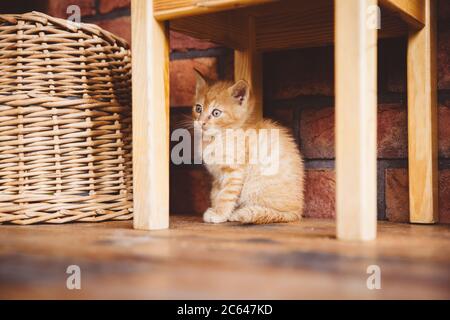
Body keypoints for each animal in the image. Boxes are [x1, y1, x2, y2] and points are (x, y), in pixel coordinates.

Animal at [192, 70, 304, 224]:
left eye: (216, 113)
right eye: (198, 108)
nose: (200, 122)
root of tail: (297, 211)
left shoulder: (235, 171)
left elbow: (226, 195)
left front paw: (220, 214)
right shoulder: (217, 175)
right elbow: (216, 193)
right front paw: (217, 209)